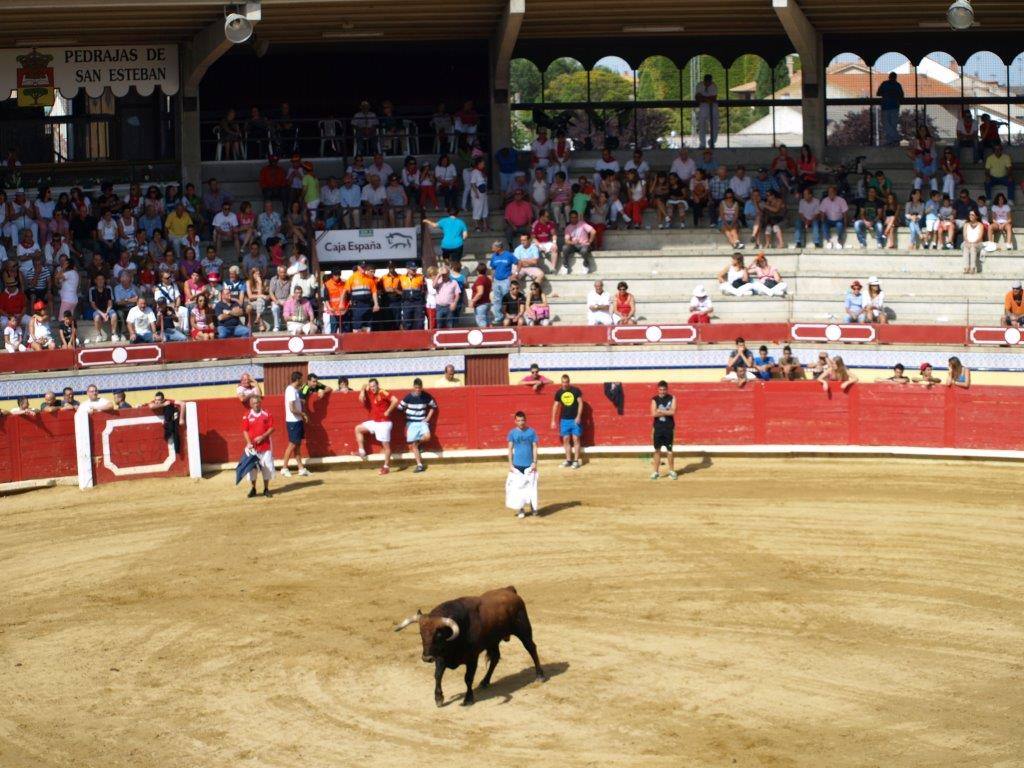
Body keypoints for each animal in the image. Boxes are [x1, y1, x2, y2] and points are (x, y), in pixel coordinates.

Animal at [395, 585, 548, 708]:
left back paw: (540, 675)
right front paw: (438, 698)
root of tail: (509, 590)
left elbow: (468, 678)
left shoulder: (472, 658)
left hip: (524, 630)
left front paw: (468, 699)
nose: (426, 658)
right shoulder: (440, 656)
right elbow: (438, 675)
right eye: (421, 632)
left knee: (531, 648)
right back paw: (485, 681)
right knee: (495, 658)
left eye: (438, 634)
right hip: (493, 641)